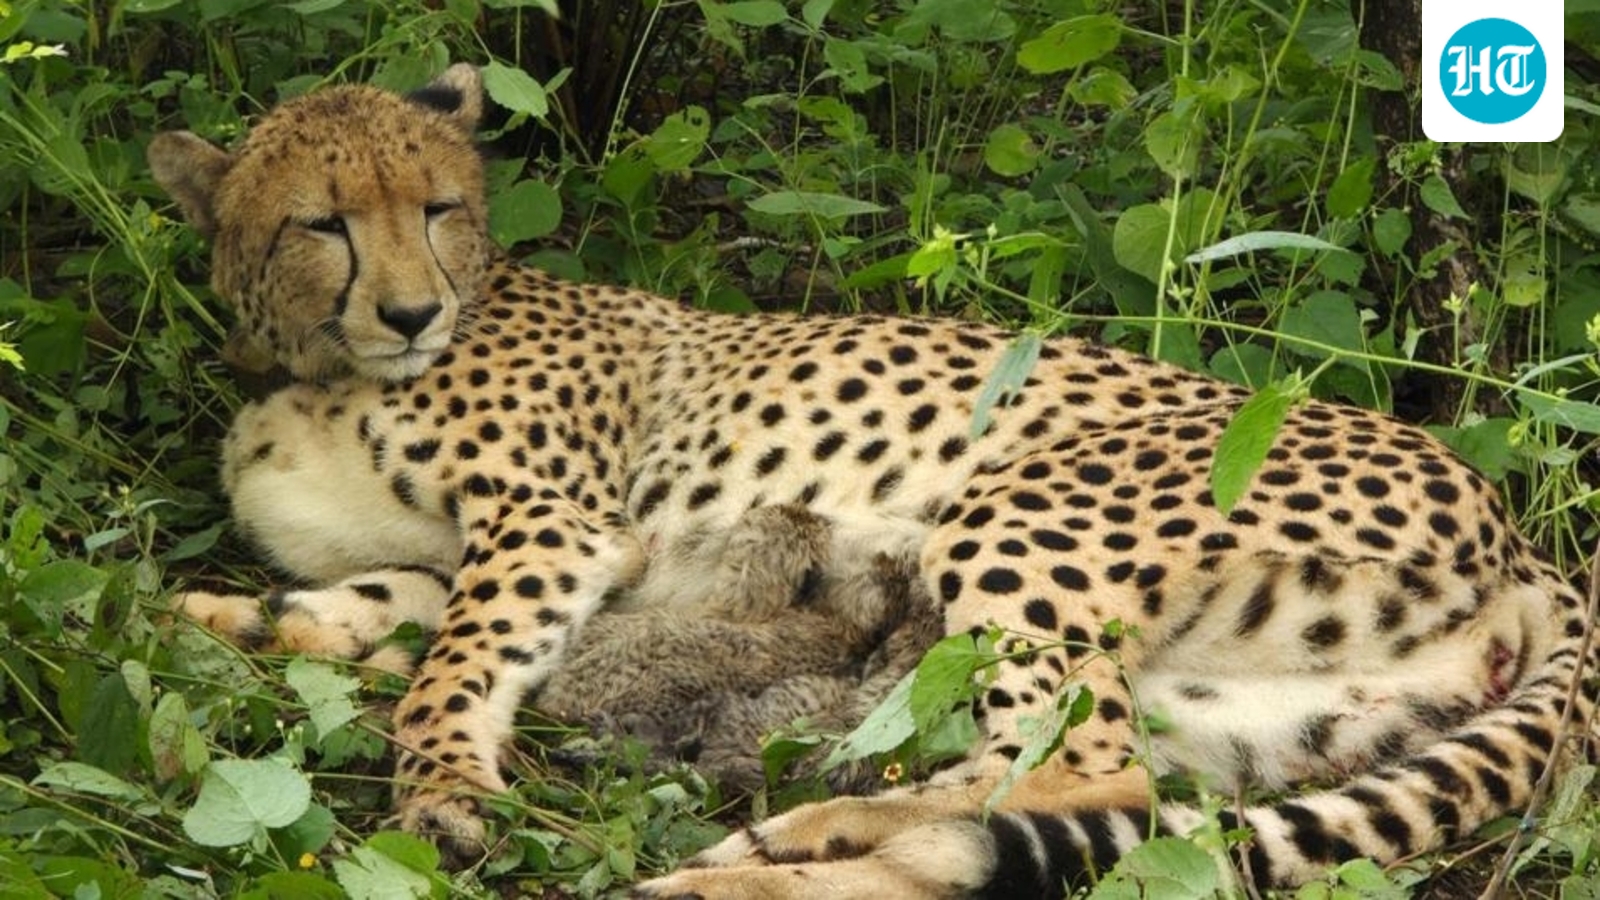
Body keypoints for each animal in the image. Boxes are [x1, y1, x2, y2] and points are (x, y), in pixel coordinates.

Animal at [147, 63, 1596, 897]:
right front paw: (204, 621)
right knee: (1086, 795)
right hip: (1248, 711)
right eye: (322, 222)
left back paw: (770, 855)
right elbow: (352, 614)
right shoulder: (446, 558)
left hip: (1019, 514)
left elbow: (451, 665)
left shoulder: (553, 525)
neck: (314, 364)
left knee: (1079, 781)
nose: (409, 312)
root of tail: (1525, 537)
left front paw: (443, 791)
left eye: (439, 208)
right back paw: (772, 854)